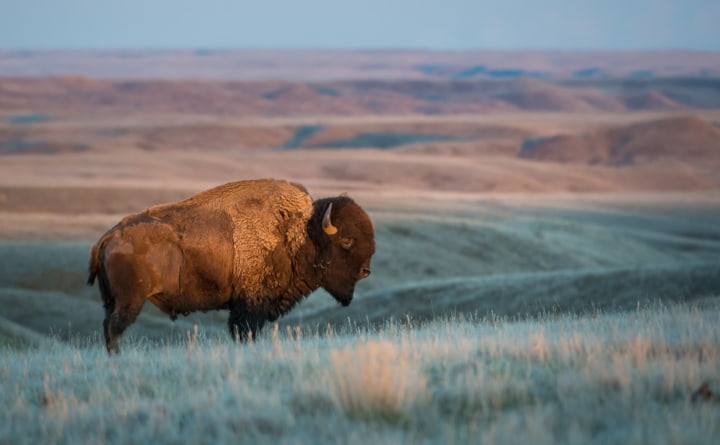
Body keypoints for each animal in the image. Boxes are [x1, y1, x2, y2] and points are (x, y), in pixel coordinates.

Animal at [88, 179, 375, 354]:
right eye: (347, 240)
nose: (365, 271)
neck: (298, 232)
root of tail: (109, 237)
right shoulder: (250, 304)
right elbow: (244, 330)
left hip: (110, 300)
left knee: (108, 325)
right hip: (130, 300)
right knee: (116, 327)